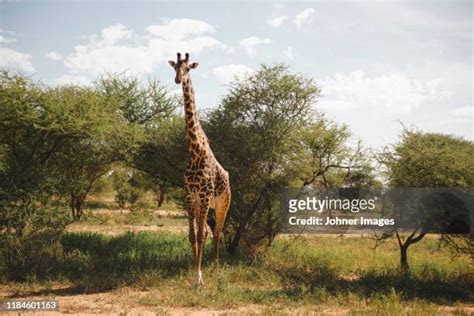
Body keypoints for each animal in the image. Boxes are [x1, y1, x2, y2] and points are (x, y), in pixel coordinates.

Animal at [168, 51, 231, 286]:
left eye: (188, 68)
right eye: (174, 67)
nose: (179, 79)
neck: (194, 151)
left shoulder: (203, 194)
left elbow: (202, 235)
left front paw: (199, 278)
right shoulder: (190, 194)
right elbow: (193, 234)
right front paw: (194, 272)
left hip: (222, 203)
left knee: (218, 232)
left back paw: (215, 268)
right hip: (203, 203)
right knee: (208, 231)